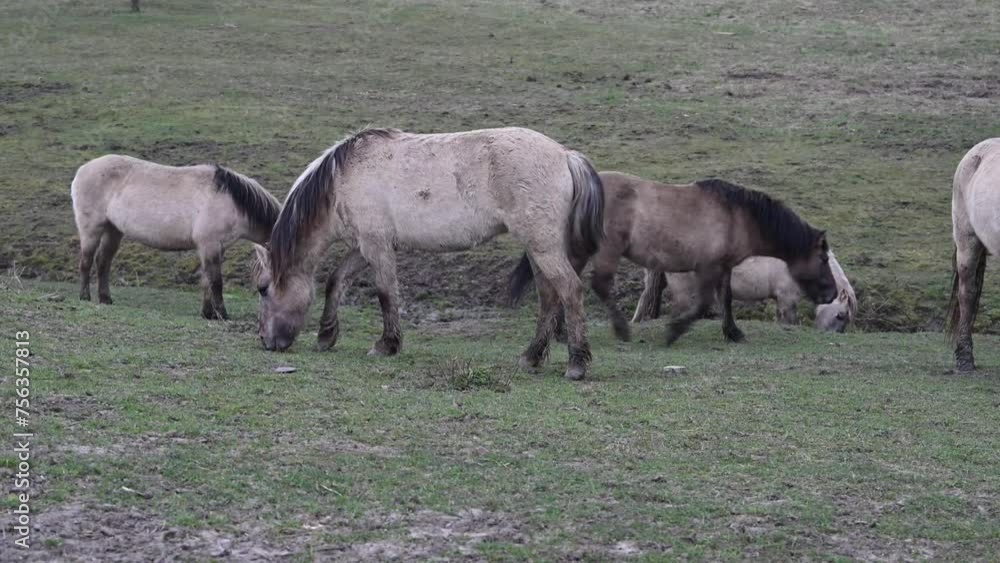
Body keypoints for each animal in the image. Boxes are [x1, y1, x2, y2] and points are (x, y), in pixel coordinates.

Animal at [71, 155, 280, 319]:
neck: (231, 201)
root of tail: (82, 170)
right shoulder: (209, 245)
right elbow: (216, 282)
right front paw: (222, 314)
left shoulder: (214, 248)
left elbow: (207, 281)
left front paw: (208, 314)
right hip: (91, 230)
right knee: (86, 262)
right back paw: (84, 297)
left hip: (113, 231)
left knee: (103, 262)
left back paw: (105, 299)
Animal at [252, 127, 604, 381]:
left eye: (263, 289)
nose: (266, 342)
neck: (342, 178)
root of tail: (566, 155)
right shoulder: (364, 246)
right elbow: (336, 282)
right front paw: (326, 337)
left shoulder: (377, 246)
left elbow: (385, 294)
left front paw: (387, 345)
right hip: (536, 249)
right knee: (549, 297)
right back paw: (531, 357)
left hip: (542, 246)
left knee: (570, 291)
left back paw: (576, 364)